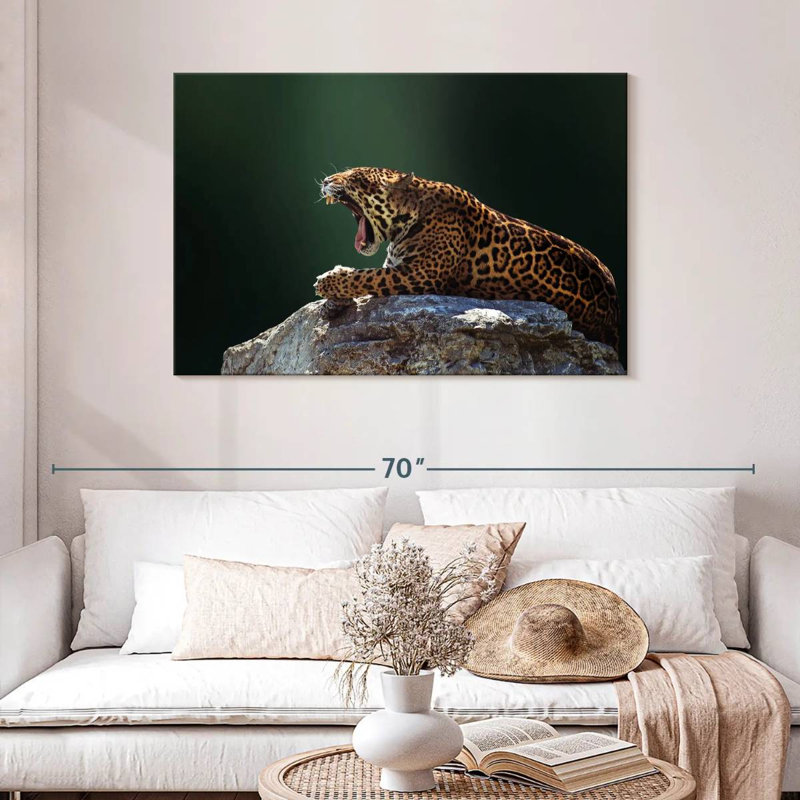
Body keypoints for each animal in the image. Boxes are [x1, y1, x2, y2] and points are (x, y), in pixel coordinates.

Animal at [315, 167, 620, 351]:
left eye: (353, 178)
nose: (326, 181)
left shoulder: (418, 276)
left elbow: (367, 277)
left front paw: (328, 282)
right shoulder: (398, 267)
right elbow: (366, 277)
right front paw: (333, 299)